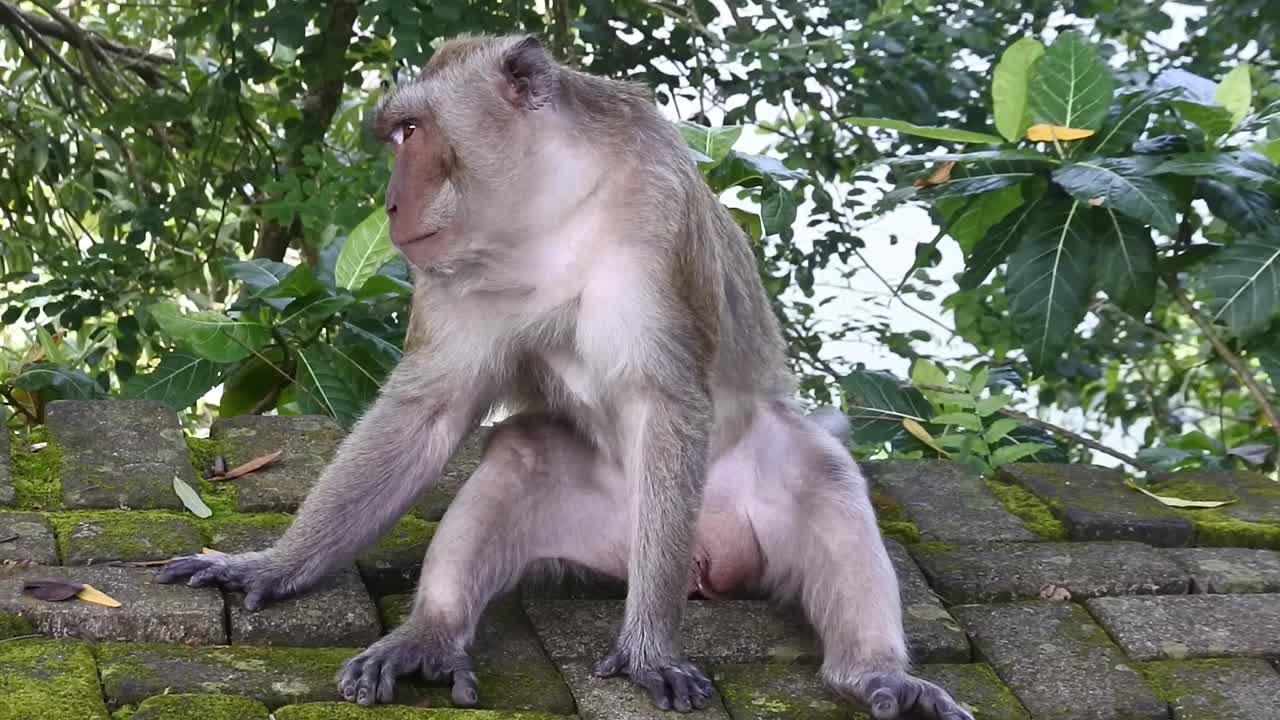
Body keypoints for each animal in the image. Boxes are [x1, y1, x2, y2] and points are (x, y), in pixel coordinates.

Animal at [157, 34, 973, 720]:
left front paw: (649, 648)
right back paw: (431, 634)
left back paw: (872, 670)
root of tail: (705, 562)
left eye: (412, 131)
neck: (550, 213)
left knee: (827, 476)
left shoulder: (657, 222)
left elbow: (665, 400)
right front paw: (273, 565)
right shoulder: (454, 276)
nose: (389, 202)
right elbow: (428, 412)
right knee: (520, 457)